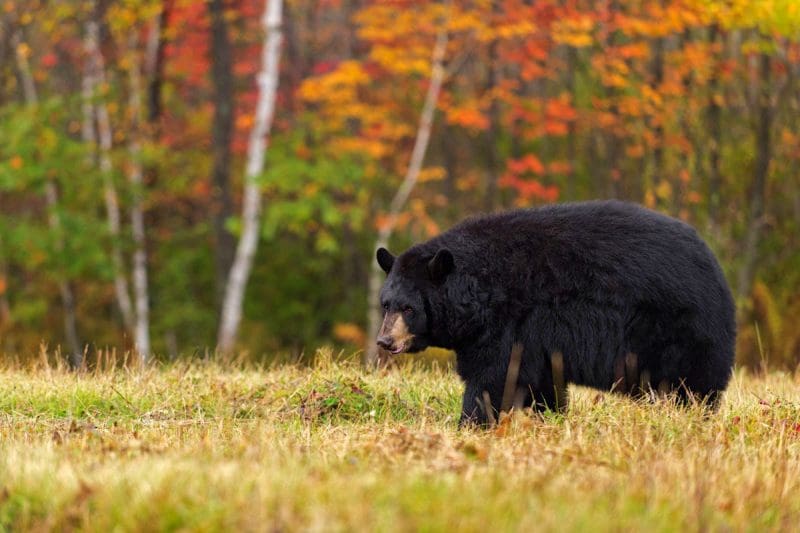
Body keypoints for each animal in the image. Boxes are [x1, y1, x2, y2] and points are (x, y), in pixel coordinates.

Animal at [375, 200, 736, 426]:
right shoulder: (537, 341)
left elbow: (494, 376)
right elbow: (539, 385)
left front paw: (470, 423)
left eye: (409, 308)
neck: (479, 293)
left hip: (676, 330)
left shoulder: (511, 324)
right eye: (386, 304)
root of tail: (715, 267)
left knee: (691, 386)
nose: (384, 341)